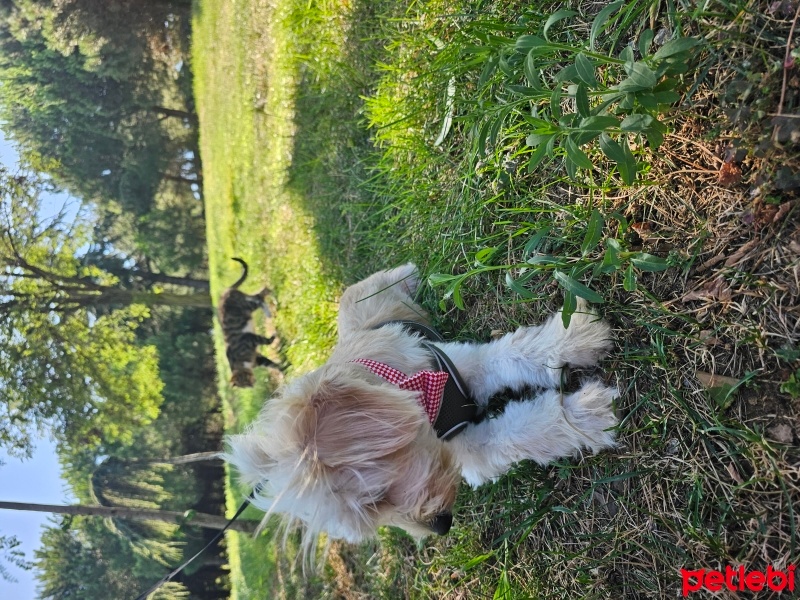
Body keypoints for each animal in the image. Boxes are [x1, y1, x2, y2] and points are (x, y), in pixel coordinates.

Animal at [219, 258, 282, 390]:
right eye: (245, 386)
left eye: (246, 381)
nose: (252, 386)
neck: (242, 362)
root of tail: (226, 290)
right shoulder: (258, 358)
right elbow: (272, 364)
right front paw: (284, 368)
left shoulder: (249, 338)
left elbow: (267, 340)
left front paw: (274, 335)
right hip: (246, 302)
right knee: (260, 294)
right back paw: (271, 304)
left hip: (246, 306)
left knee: (260, 297)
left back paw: (271, 305)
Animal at [225, 264, 620, 548]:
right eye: (375, 517)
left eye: (377, 496)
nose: (441, 526)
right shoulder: (464, 449)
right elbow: (517, 434)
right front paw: (582, 415)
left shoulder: (463, 366)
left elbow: (519, 353)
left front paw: (579, 342)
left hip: (382, 284)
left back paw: (413, 278)